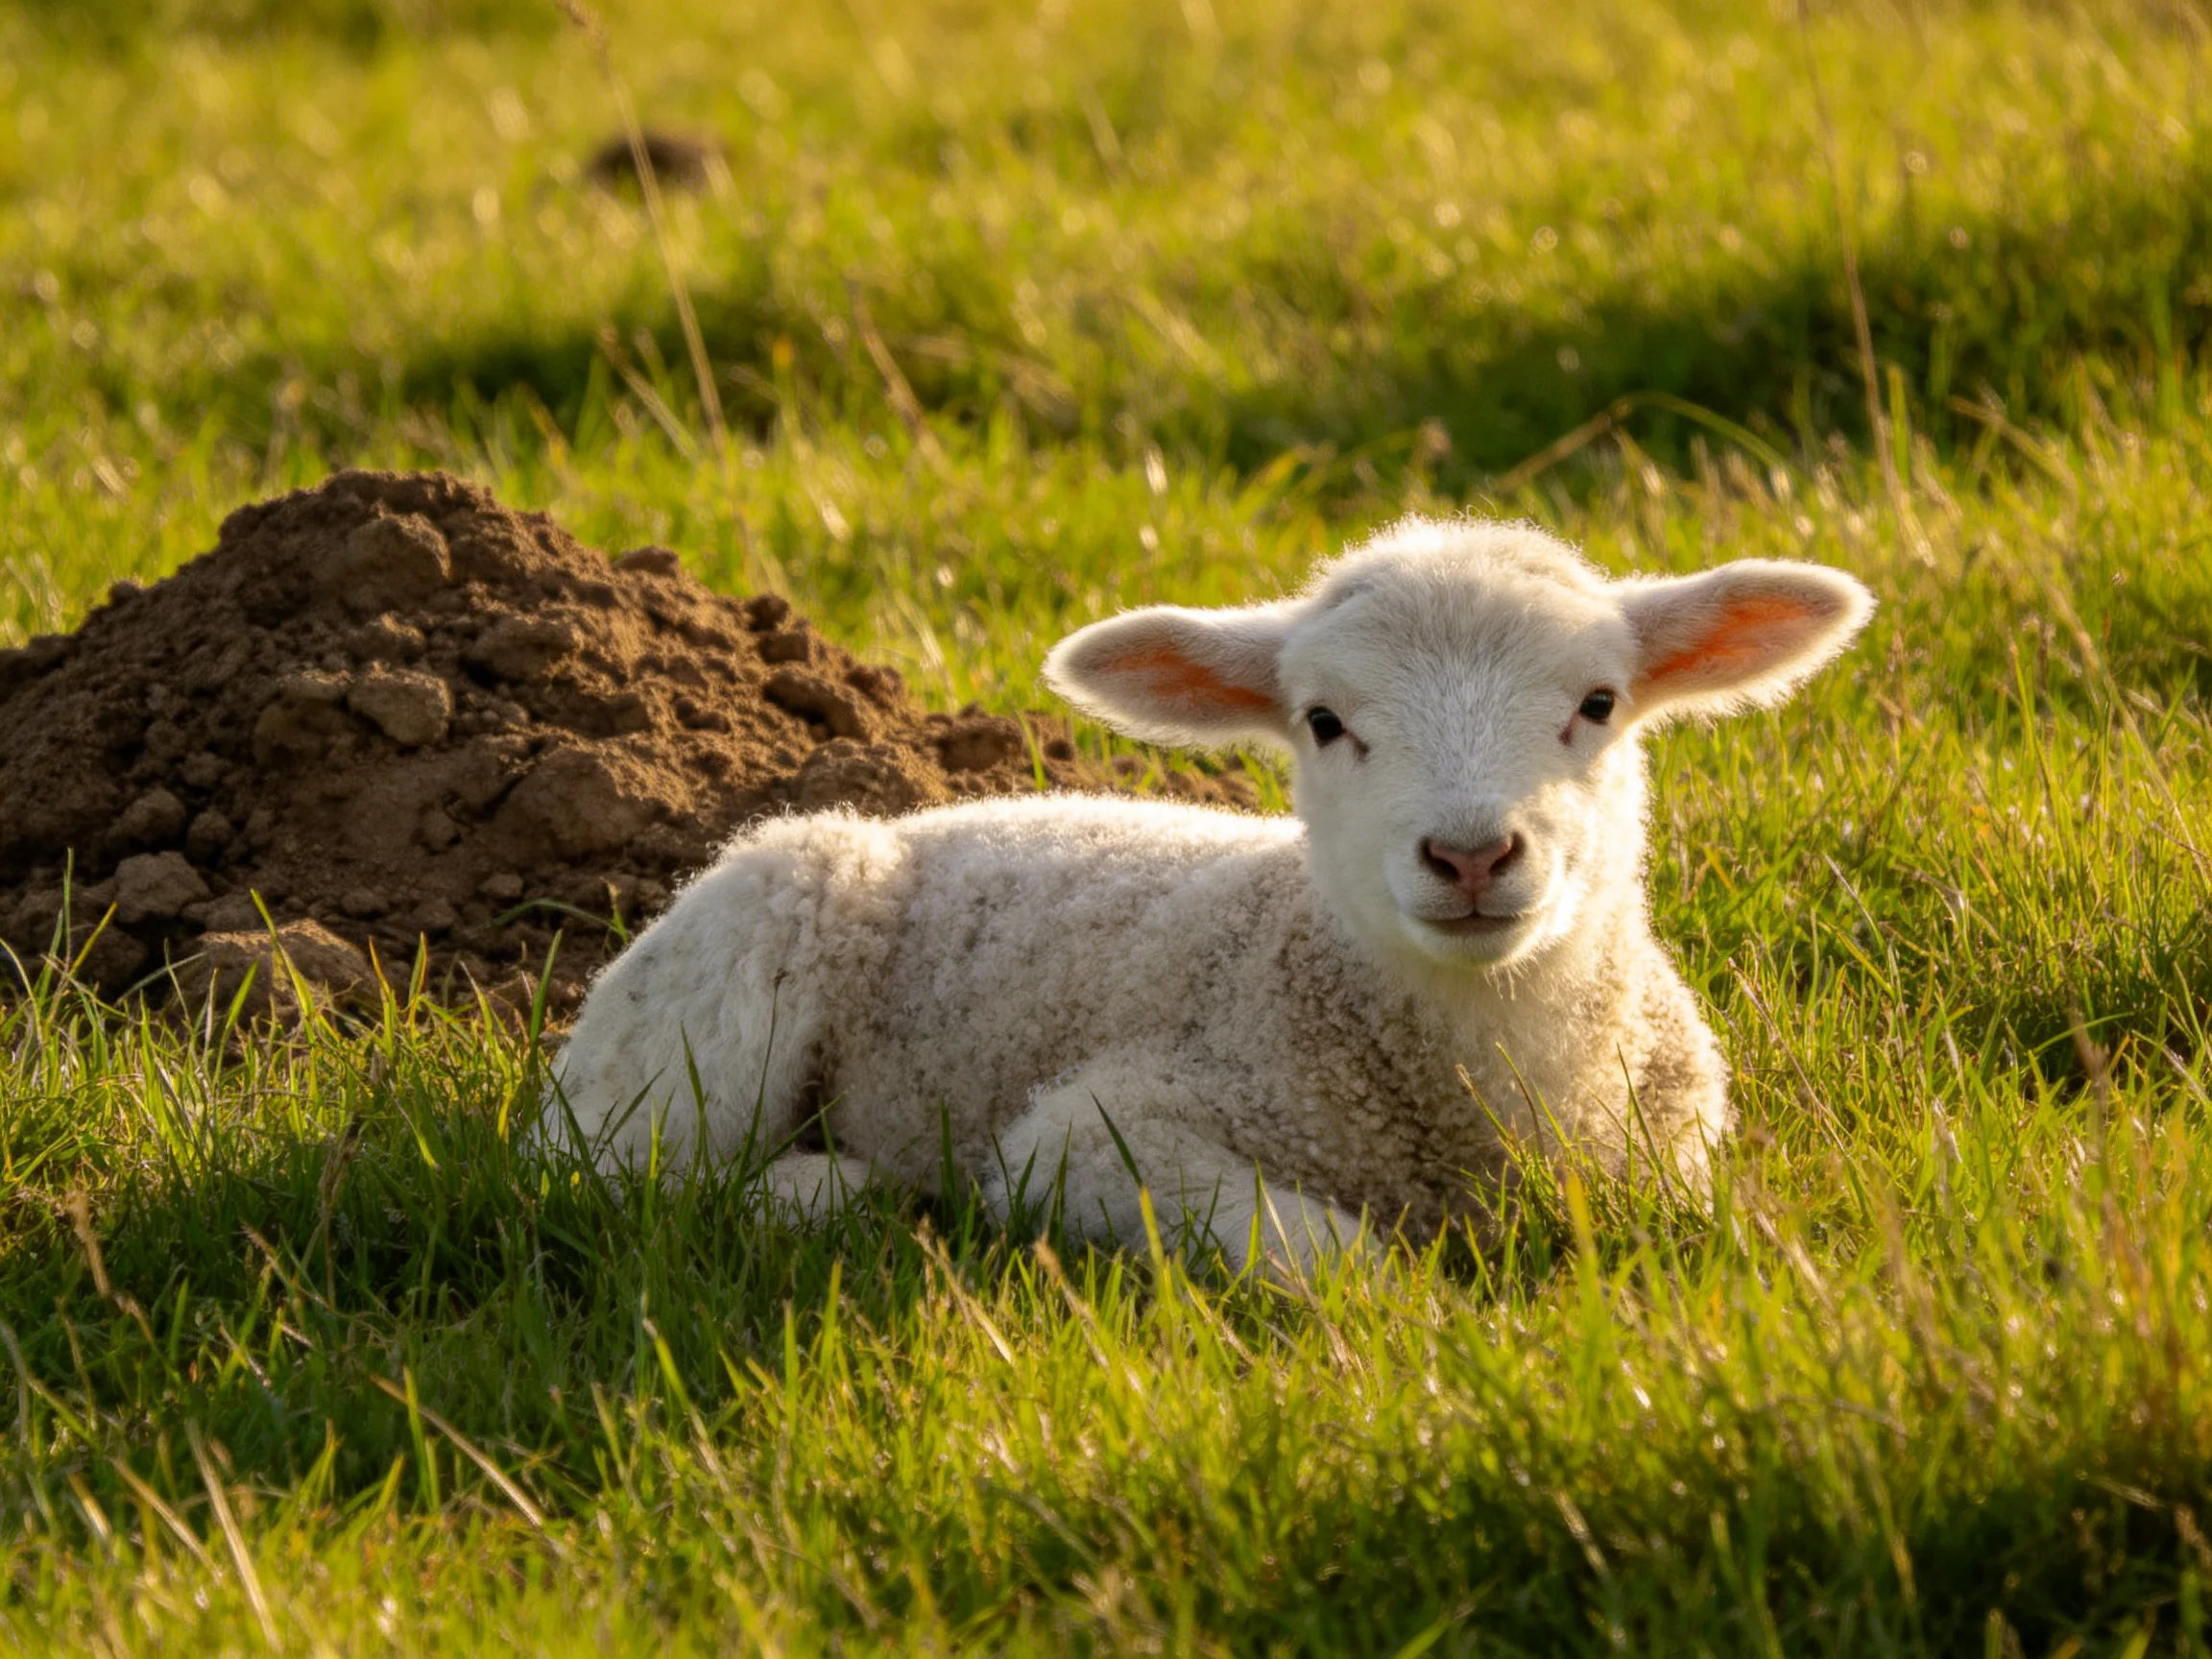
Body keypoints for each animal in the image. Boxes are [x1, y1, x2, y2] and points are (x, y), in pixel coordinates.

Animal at [549, 517, 1872, 1272]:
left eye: (1599, 704)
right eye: (1324, 722)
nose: (1470, 857)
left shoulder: (1670, 1156)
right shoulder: (1094, 1133)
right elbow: (1344, 1266)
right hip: (742, 946)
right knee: (613, 1178)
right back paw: (832, 1190)